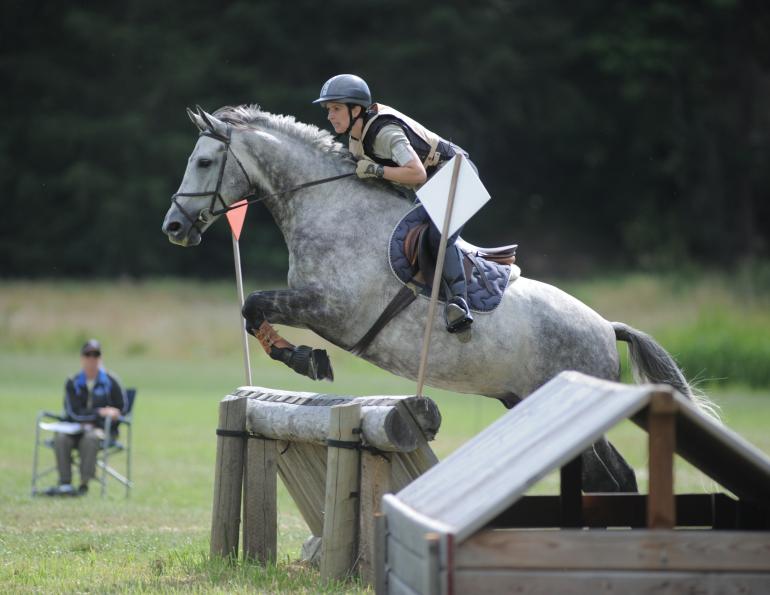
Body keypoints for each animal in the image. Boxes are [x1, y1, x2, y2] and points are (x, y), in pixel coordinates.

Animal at [162, 105, 717, 493]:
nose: (173, 228)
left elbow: (253, 303)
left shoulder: (330, 309)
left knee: (613, 478)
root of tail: (607, 327)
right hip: (527, 399)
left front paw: (306, 359)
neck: (326, 204)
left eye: (205, 161)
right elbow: (250, 310)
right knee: (609, 477)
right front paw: (301, 358)